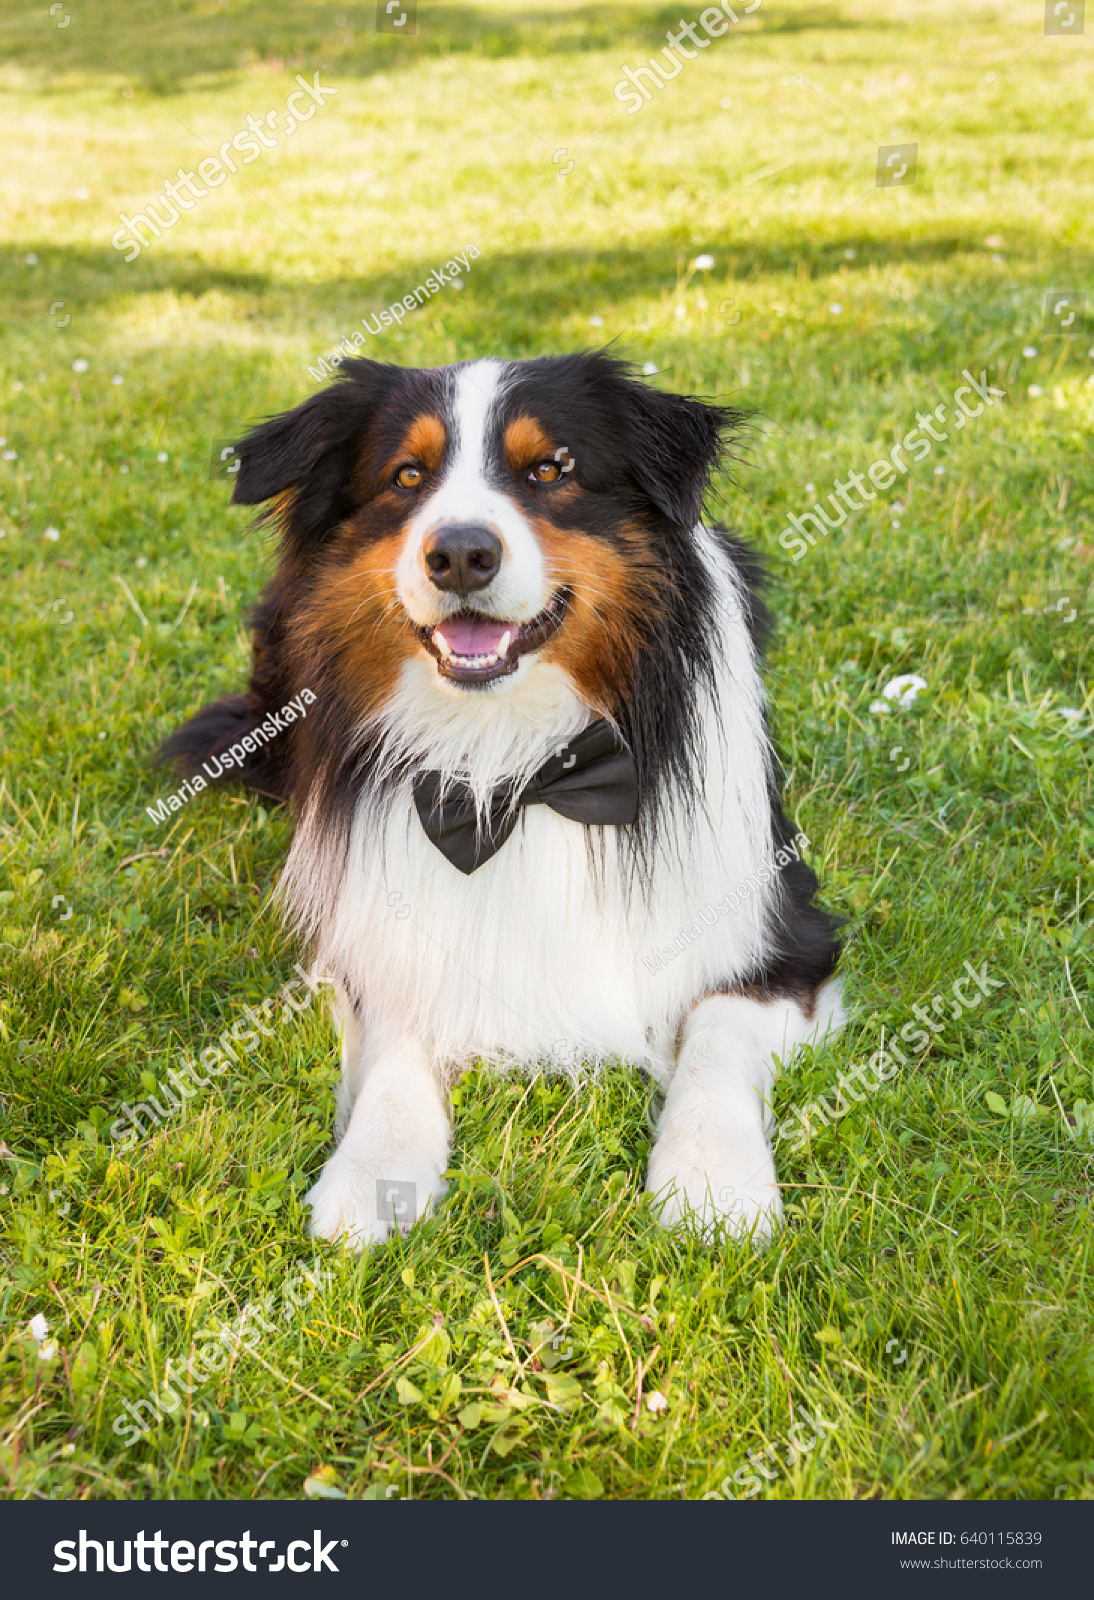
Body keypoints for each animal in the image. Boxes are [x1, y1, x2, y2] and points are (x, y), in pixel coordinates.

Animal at [164, 353, 844, 1248]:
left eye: (550, 469)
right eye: (406, 476)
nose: (459, 554)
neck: (520, 766)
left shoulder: (783, 930)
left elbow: (716, 1034)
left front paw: (712, 1181)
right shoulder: (369, 932)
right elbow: (400, 1041)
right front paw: (374, 1175)